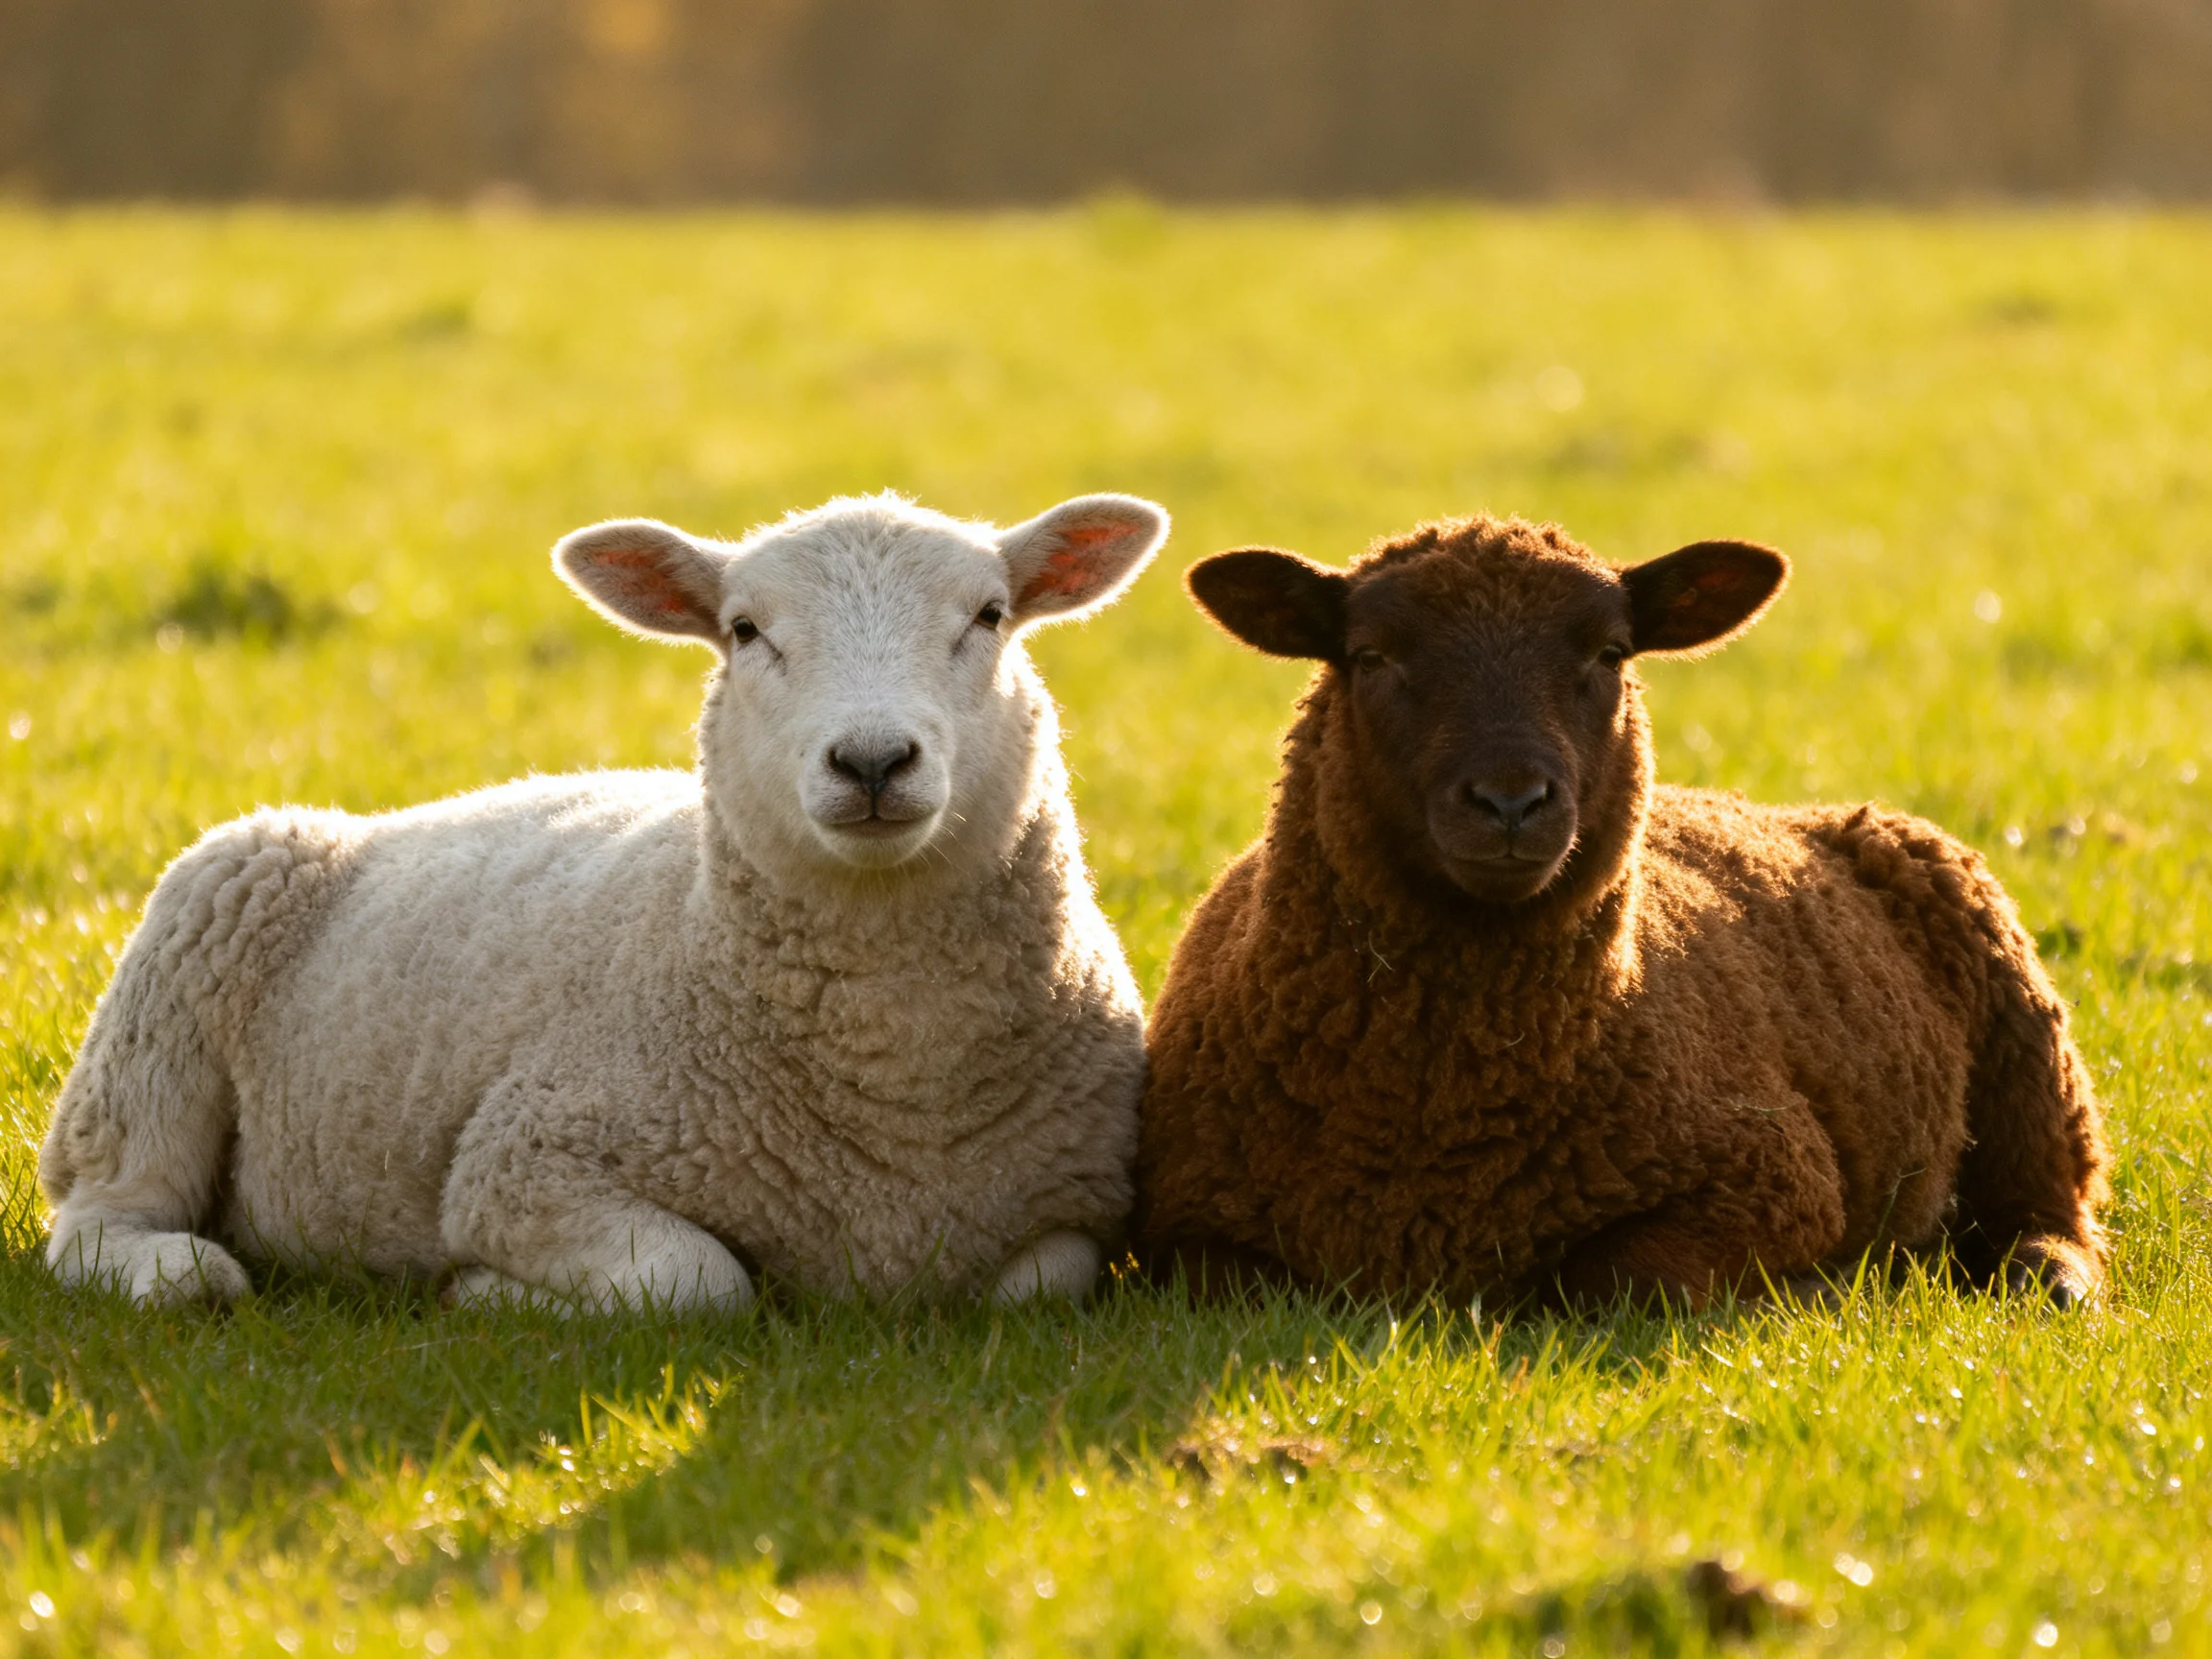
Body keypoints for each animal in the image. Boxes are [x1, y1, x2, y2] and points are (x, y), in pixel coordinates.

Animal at [41, 491, 1168, 1313]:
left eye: (989, 617)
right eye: (744, 630)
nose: (874, 760)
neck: (899, 1087)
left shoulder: (1073, 1211)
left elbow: (1035, 1286)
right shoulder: (524, 1161)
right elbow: (696, 1282)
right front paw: (485, 1292)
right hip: (168, 1000)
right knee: (100, 1211)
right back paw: (179, 1273)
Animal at [1134, 514, 2109, 1310]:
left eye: (1609, 654)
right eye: (1371, 656)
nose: (1512, 801)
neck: (1438, 1117)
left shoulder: (1775, 1177)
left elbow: (1617, 1282)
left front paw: (1810, 1291)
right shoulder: (1186, 1225)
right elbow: (1230, 1284)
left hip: (2024, 1046)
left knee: (2048, 1207)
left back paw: (2050, 1281)